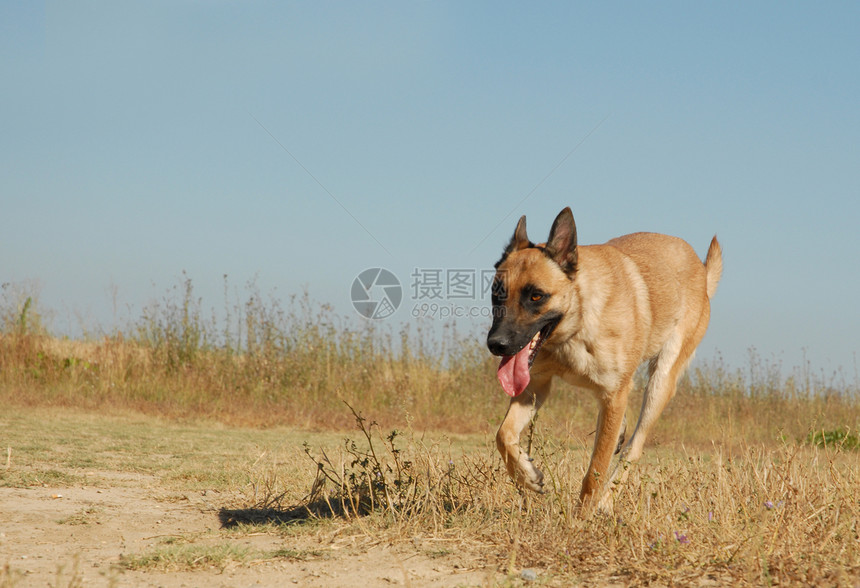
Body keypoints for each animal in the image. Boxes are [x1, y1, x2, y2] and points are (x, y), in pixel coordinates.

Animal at [488, 209, 724, 512]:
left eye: (536, 296)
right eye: (497, 294)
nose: (496, 345)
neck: (576, 323)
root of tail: (702, 271)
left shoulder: (613, 394)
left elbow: (595, 470)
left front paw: (581, 516)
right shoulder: (535, 385)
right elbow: (503, 434)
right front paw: (527, 475)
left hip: (660, 384)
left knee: (633, 448)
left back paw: (606, 502)